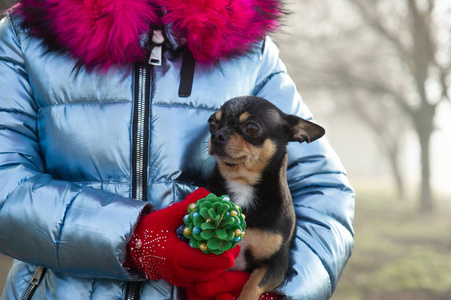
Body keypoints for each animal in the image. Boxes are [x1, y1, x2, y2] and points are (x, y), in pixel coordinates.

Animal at [207, 96, 326, 300]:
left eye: (251, 128)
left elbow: (251, 286)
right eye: (212, 123)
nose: (217, 135)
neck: (242, 184)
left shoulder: (276, 265)